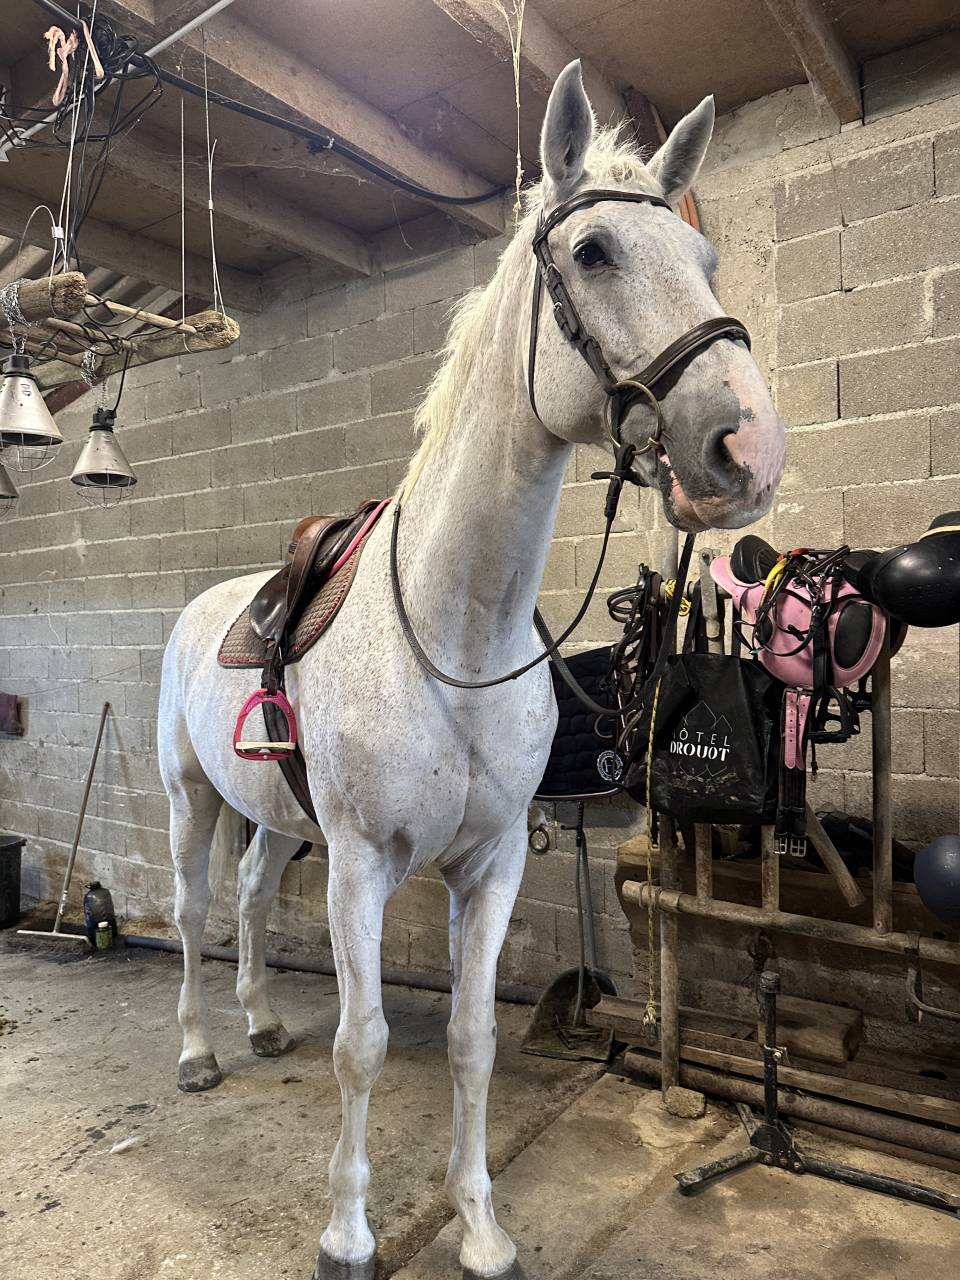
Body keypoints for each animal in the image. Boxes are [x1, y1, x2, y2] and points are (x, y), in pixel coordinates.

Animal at [157, 61, 786, 1280]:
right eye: (594, 252)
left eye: (705, 261)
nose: (750, 448)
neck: (454, 638)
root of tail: (203, 608)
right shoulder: (358, 864)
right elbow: (361, 1044)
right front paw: (348, 1234)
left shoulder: (486, 864)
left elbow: (473, 1038)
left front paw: (482, 1226)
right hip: (193, 800)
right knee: (197, 904)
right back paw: (201, 1050)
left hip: (276, 817)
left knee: (249, 898)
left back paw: (261, 1023)